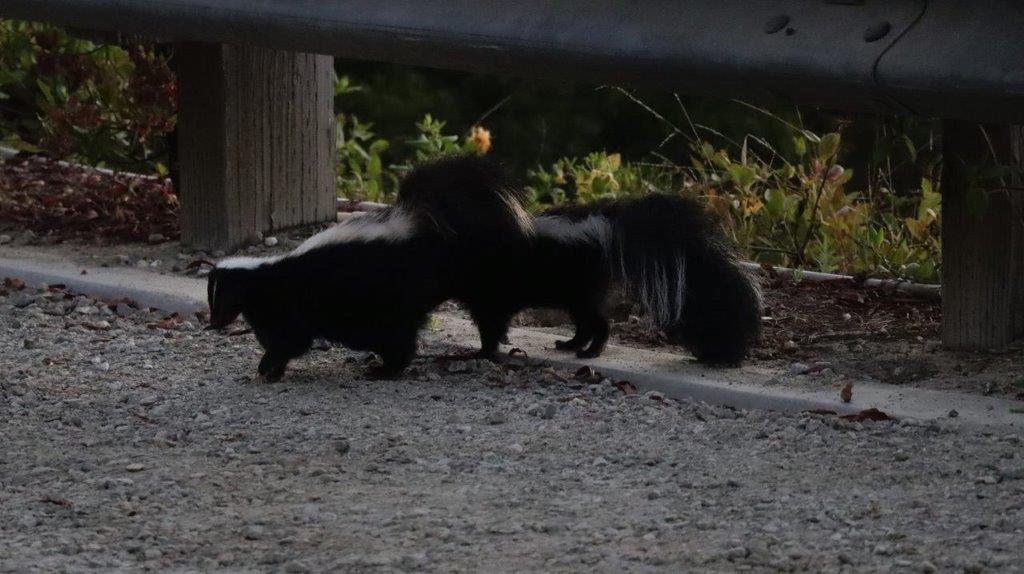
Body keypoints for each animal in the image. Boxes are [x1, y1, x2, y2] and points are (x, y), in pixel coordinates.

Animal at [204, 156, 532, 380]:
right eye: (212, 298)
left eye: (222, 297)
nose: (214, 323)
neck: (265, 276)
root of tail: (419, 221)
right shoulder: (268, 314)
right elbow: (281, 340)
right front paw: (272, 369)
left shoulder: (288, 307)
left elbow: (292, 339)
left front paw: (266, 367)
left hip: (395, 299)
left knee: (403, 337)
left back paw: (387, 370)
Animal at [456, 192, 761, 362]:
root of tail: (603, 224)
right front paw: (498, 343)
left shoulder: (489, 291)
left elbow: (490, 322)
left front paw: (484, 351)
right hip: (576, 292)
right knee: (584, 324)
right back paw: (569, 344)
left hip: (579, 287)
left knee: (598, 323)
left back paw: (590, 351)